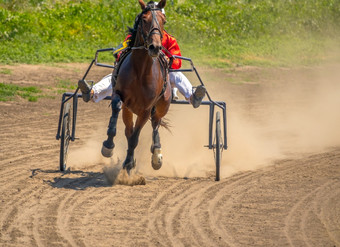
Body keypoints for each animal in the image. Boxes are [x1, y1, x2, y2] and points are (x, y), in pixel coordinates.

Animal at [100, 0, 170, 175]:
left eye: (163, 21)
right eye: (144, 19)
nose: (155, 47)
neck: (140, 71)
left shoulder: (146, 110)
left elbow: (135, 138)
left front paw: (129, 164)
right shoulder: (119, 95)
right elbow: (117, 108)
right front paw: (108, 145)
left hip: (162, 104)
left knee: (156, 123)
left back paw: (156, 153)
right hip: (129, 109)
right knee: (129, 129)